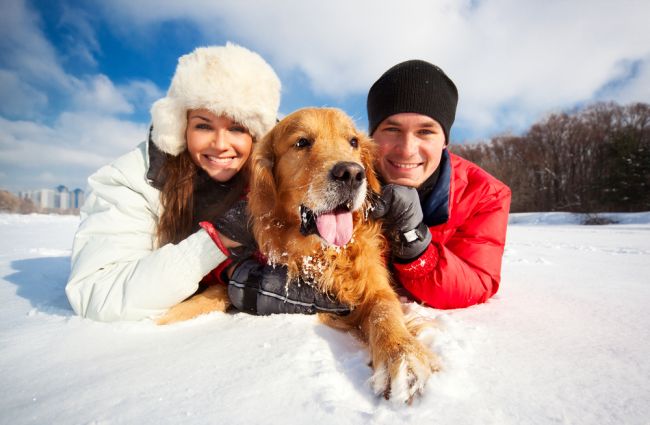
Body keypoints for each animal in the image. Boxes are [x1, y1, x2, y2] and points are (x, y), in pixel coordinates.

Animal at [248, 107, 440, 402]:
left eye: (353, 142)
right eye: (301, 142)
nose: (351, 174)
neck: (326, 251)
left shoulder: (376, 284)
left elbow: (384, 310)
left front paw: (403, 356)